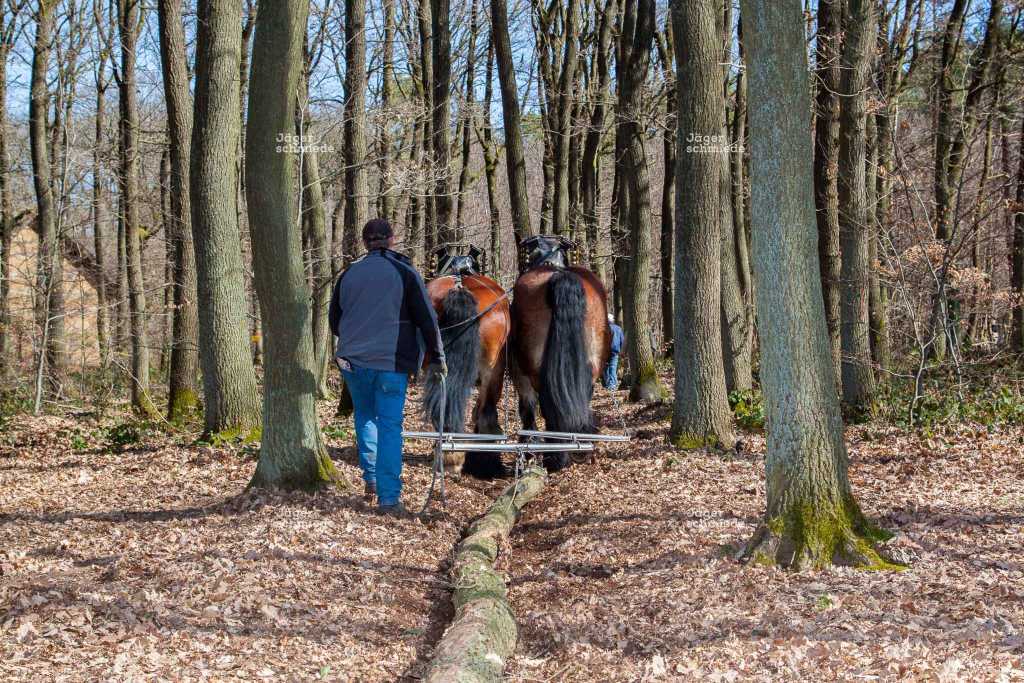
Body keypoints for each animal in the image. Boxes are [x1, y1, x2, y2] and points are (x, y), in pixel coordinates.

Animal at [509, 235, 606, 471]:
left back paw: (555, 456)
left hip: (534, 371)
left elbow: (527, 408)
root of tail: (560, 276)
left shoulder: (519, 372)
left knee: (548, 406)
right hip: (591, 366)